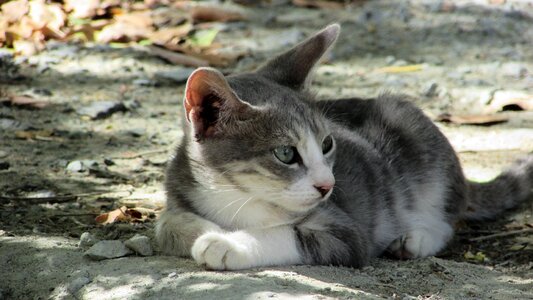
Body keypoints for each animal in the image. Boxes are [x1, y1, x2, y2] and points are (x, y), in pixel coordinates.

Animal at [155, 24, 532, 270]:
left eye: (327, 143)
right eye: (285, 153)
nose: (327, 186)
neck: (234, 195)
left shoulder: (347, 231)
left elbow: (289, 235)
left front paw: (228, 242)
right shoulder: (179, 189)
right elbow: (166, 224)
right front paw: (208, 230)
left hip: (418, 142)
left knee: (446, 218)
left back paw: (414, 238)